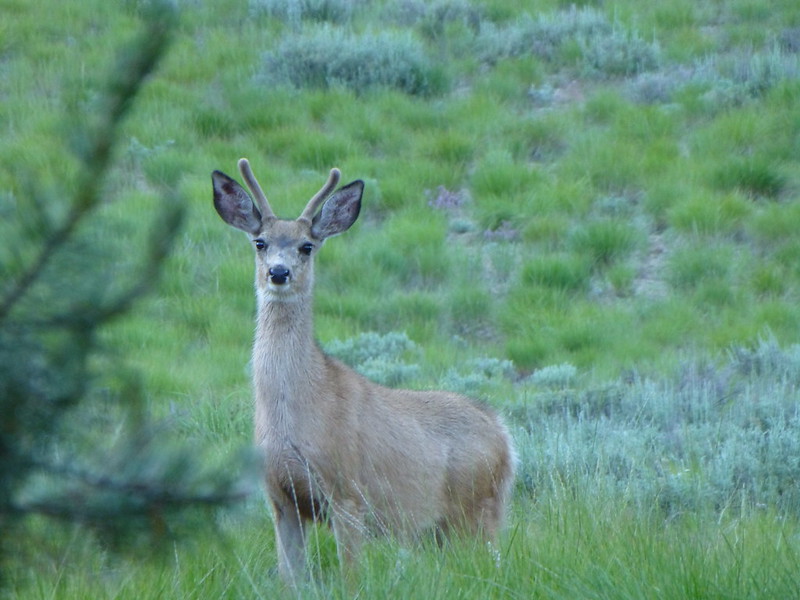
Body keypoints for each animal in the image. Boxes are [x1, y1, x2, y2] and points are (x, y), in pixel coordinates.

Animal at [209, 158, 516, 580]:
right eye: (260, 242)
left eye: (306, 246)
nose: (279, 273)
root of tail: (503, 434)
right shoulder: (281, 499)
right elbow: (291, 581)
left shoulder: (348, 492)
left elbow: (350, 578)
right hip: (444, 526)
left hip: (477, 505)